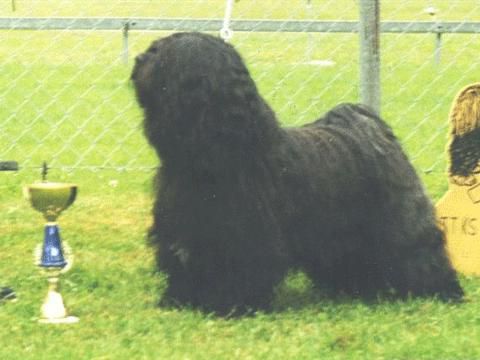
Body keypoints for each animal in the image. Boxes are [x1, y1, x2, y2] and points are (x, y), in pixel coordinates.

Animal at [130, 33, 462, 316]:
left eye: (159, 53)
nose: (137, 59)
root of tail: (370, 127)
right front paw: (179, 300)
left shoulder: (241, 237)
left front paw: (229, 305)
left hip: (399, 218)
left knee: (418, 249)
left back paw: (441, 290)